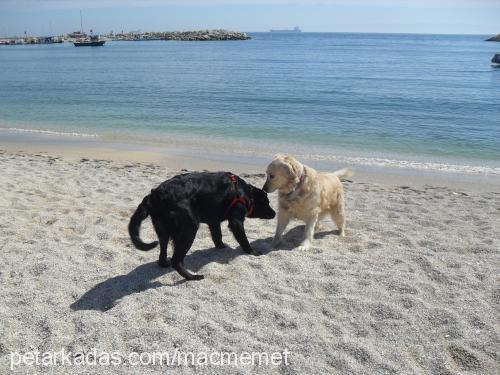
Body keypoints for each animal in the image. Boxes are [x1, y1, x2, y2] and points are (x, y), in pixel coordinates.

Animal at [128, 172, 278, 280]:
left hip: (163, 231)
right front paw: (253, 252)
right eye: (266, 203)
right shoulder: (236, 221)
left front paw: (221, 246)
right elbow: (244, 240)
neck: (246, 193)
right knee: (177, 261)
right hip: (189, 230)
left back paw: (165, 264)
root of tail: (153, 197)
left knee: (163, 253)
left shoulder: (214, 221)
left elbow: (217, 236)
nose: (275, 213)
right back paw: (191, 277)